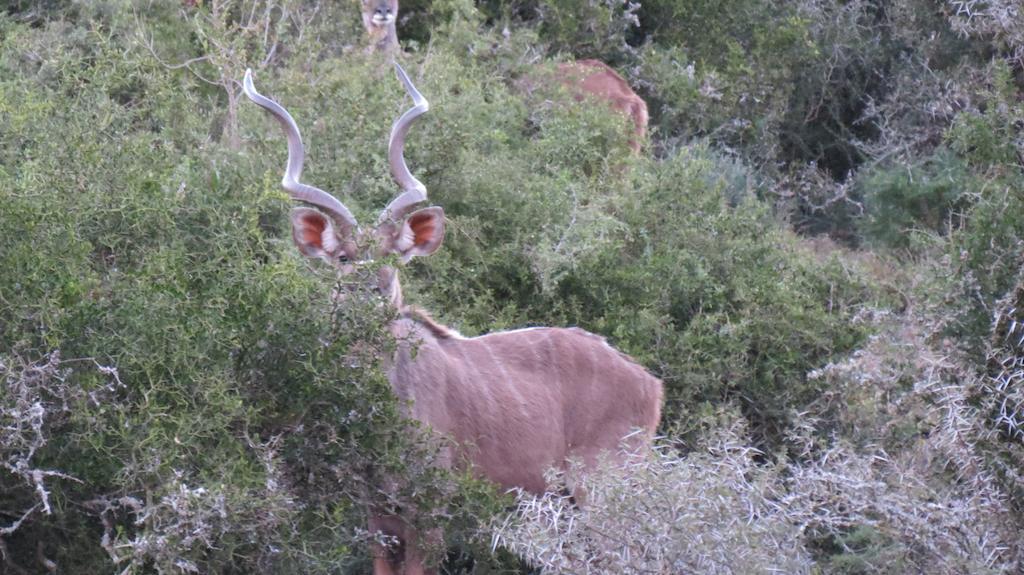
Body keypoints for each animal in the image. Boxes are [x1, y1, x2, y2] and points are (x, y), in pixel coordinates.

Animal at [245, 64, 663, 568]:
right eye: (344, 257)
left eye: (392, 256)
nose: (374, 292)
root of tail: (651, 384)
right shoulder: (376, 516)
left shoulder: (432, 512)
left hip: (602, 483)